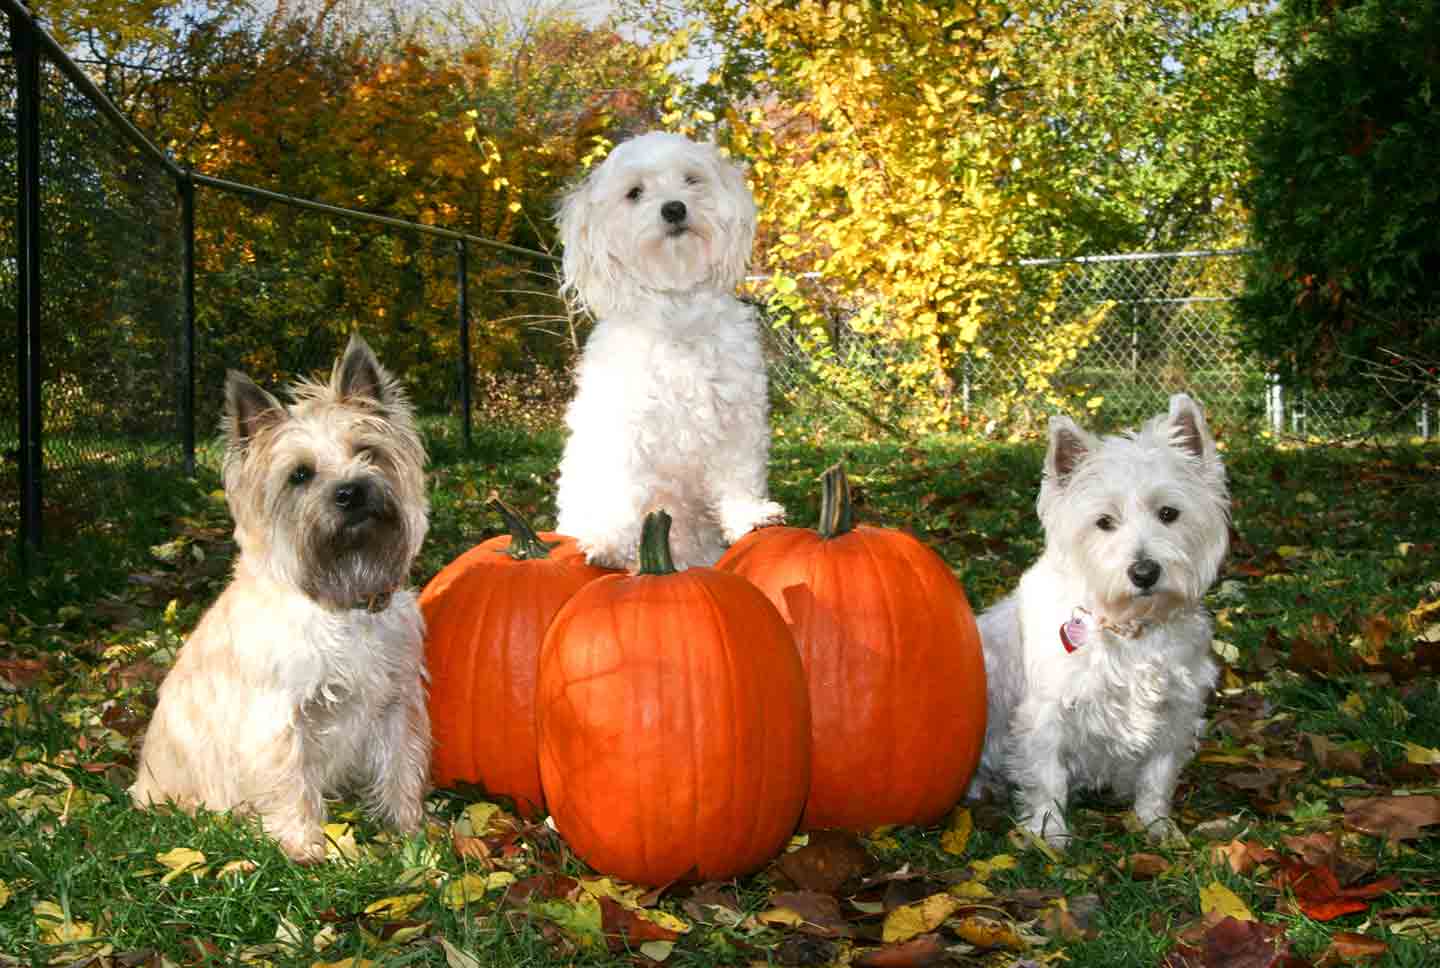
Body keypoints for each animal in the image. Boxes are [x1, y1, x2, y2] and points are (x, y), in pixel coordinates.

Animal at [131, 334, 426, 864]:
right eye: (300, 475)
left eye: (367, 451)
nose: (352, 491)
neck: (339, 599)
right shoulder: (279, 718)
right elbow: (291, 783)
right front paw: (305, 848)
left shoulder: (396, 704)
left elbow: (401, 768)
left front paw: (408, 835)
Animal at [550, 128, 783, 567]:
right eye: (634, 192)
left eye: (692, 179)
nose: (674, 209)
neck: (677, 313)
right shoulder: (626, 430)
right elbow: (623, 494)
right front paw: (610, 542)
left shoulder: (739, 418)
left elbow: (739, 476)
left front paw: (750, 516)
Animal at [967, 391, 1226, 847]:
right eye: (1104, 522)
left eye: (1169, 513)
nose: (1144, 572)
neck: (1131, 629)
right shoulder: (1046, 714)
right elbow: (1047, 778)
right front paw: (1049, 835)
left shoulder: (1176, 712)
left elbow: (1157, 777)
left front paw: (1157, 826)